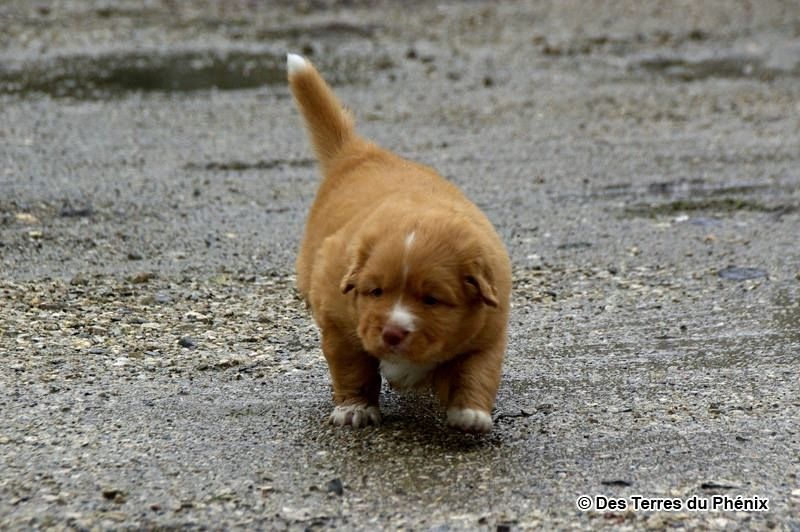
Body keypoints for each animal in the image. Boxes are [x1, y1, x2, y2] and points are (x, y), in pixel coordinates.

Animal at [287, 53, 511, 433]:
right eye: (376, 292)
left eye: (432, 299)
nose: (392, 333)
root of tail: (359, 152)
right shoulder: (339, 324)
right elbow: (352, 369)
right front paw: (355, 409)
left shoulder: (489, 332)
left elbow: (476, 371)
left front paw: (471, 414)